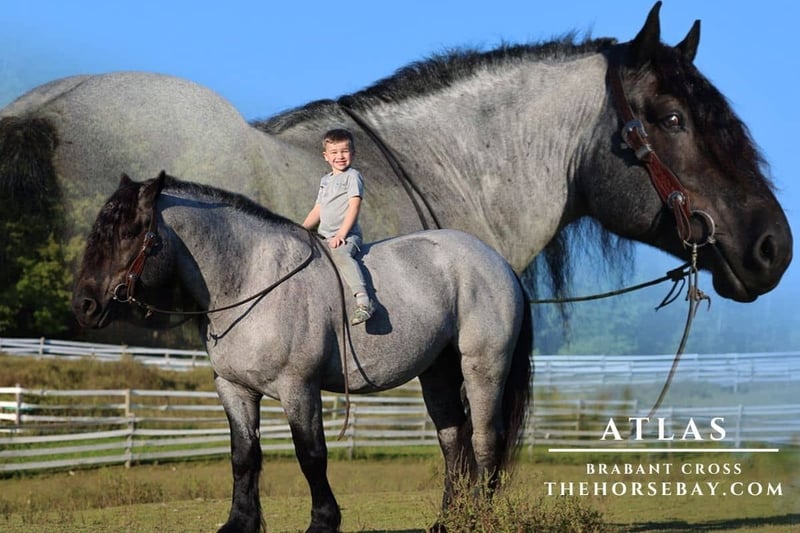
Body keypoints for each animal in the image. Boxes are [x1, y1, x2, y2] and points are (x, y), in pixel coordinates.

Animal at [71, 171, 533, 533]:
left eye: (129, 232)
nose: (84, 305)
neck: (252, 279)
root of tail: (497, 263)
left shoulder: (299, 389)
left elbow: (311, 456)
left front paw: (323, 522)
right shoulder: (234, 389)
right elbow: (244, 456)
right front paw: (239, 523)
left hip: (483, 367)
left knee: (485, 440)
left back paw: (480, 518)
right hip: (437, 372)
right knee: (452, 440)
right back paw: (449, 520)